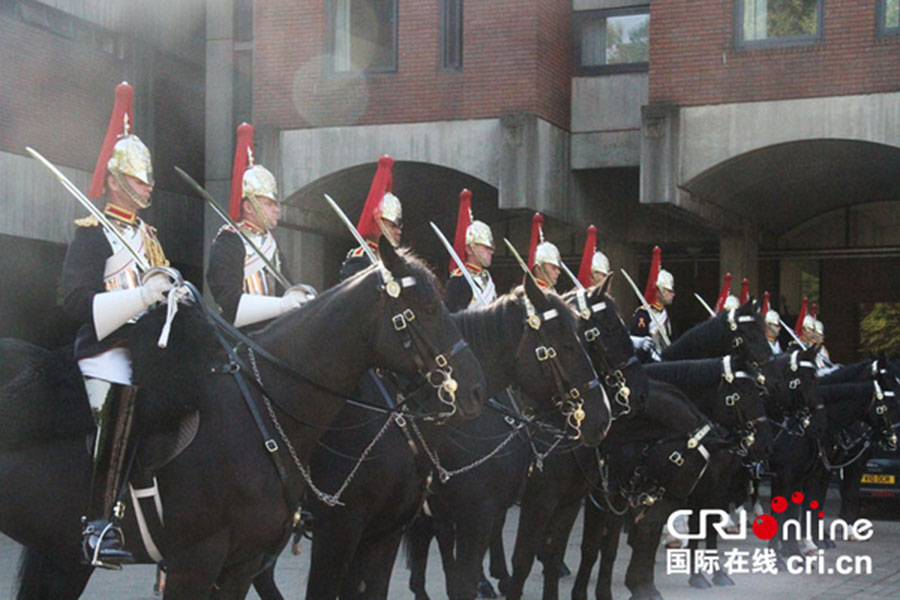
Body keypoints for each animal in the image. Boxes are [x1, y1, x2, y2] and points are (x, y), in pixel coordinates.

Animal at [1, 241, 486, 596]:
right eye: (427, 308)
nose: (473, 387)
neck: (260, 410)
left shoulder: (243, 562)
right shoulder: (195, 562)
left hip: (61, 552)